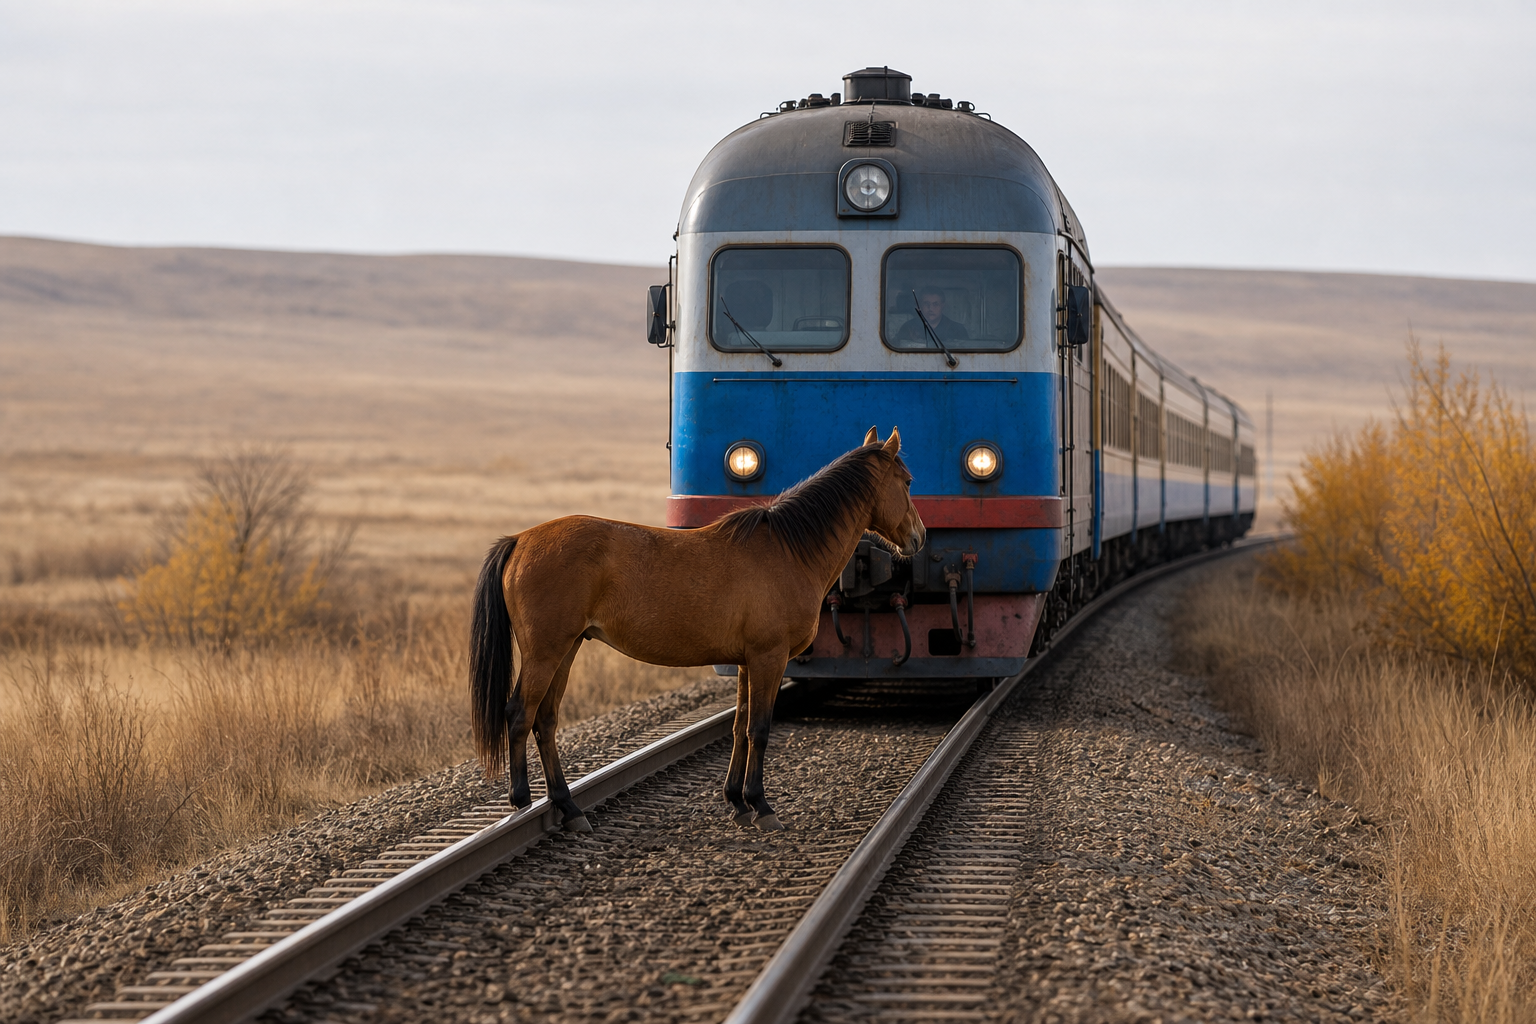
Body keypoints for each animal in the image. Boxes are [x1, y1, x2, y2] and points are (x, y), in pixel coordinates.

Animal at [468, 426, 925, 832]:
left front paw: (736, 801)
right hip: (546, 652)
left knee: (545, 721)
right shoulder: (769, 658)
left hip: (567, 649)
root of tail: (520, 540)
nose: (920, 537)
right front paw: (761, 806)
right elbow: (759, 728)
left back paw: (569, 808)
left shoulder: (748, 662)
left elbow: (740, 727)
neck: (788, 550)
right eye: (906, 481)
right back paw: (522, 803)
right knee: (519, 714)